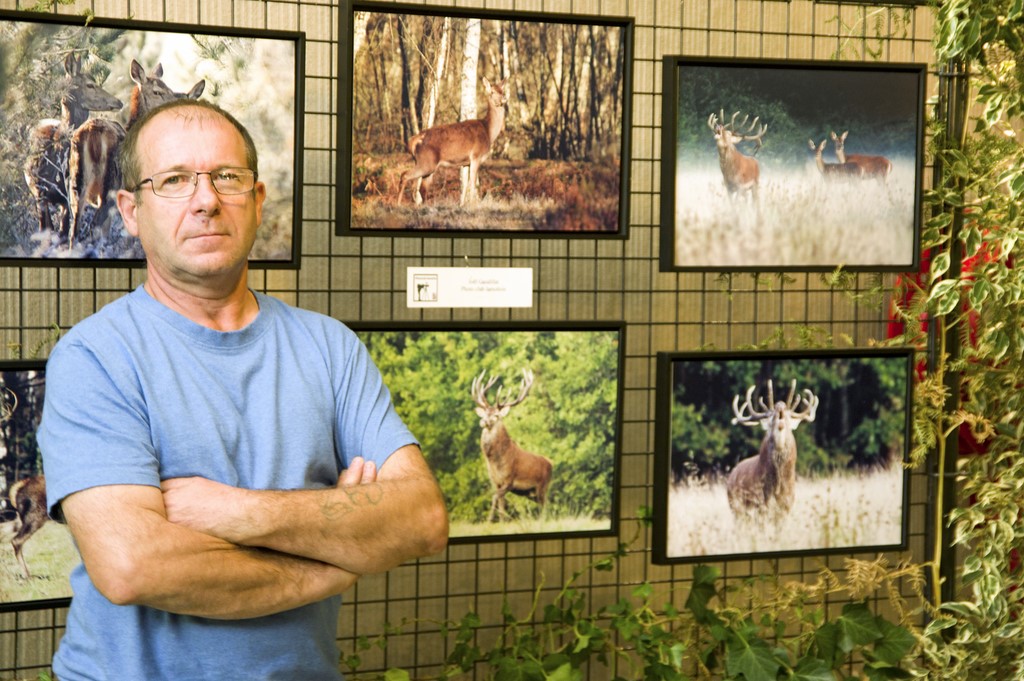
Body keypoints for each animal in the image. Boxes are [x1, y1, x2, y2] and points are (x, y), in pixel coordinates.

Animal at [24, 53, 123, 238]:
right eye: (90, 84)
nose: (118, 102)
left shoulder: (65, 198)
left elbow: (62, 230)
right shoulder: (39, 193)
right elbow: (45, 230)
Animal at [398, 76, 508, 206]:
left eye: (502, 90)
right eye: (492, 92)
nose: (504, 97)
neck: (488, 132)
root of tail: (414, 140)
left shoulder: (465, 162)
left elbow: (464, 185)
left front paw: (462, 205)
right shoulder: (476, 156)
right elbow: (473, 184)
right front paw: (472, 204)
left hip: (424, 164)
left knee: (419, 187)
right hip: (427, 162)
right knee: (405, 175)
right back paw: (398, 204)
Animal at [471, 368, 553, 522]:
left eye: (496, 415)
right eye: (485, 413)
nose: (483, 421)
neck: (495, 462)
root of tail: (551, 463)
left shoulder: (509, 480)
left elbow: (495, 497)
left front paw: (490, 520)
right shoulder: (495, 482)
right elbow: (499, 502)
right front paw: (499, 521)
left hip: (543, 486)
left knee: (545, 506)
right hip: (532, 493)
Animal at [726, 379, 818, 519]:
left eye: (788, 419)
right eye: (771, 420)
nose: (780, 406)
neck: (777, 489)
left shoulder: (787, 506)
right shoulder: (760, 506)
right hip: (736, 508)